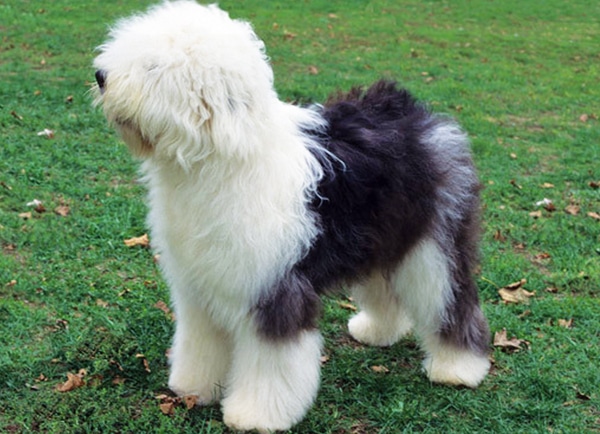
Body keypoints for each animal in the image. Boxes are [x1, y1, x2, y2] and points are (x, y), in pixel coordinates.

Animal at [92, 2, 488, 430]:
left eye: (152, 67)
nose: (100, 76)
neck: (218, 160)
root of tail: (420, 117)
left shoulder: (275, 288)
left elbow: (271, 362)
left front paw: (255, 414)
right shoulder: (198, 286)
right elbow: (200, 341)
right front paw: (194, 387)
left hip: (432, 244)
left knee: (452, 301)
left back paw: (458, 367)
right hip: (377, 239)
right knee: (383, 288)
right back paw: (376, 331)